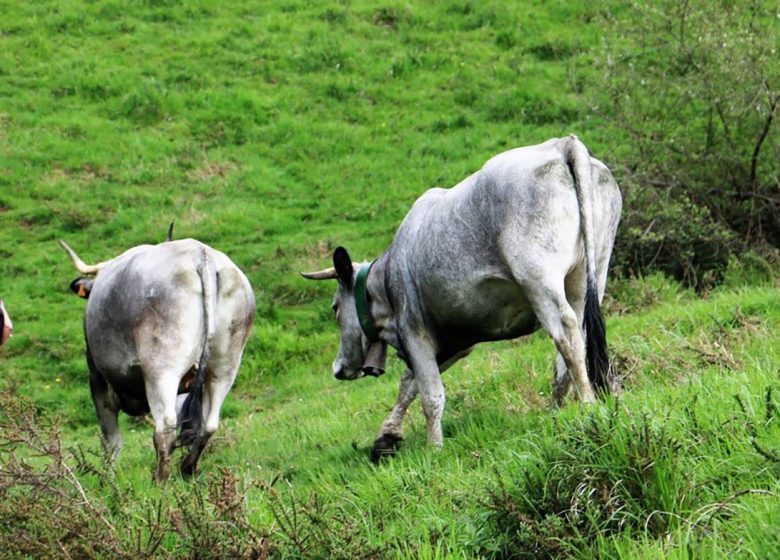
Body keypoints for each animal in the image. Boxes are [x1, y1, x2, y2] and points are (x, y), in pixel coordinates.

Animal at [62, 238, 256, 480]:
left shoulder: (98, 380)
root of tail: (202, 256)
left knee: (165, 429)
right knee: (208, 425)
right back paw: (186, 469)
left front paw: (108, 478)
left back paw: (159, 481)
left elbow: (111, 441)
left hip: (161, 371)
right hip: (224, 367)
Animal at [304, 135, 620, 460]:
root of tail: (561, 144)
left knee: (566, 334)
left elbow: (430, 394)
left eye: (334, 308)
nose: (338, 368)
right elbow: (409, 384)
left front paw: (433, 448)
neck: (388, 278)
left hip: (539, 278)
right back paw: (556, 409)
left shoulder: (415, 332)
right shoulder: (456, 340)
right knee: (577, 338)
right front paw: (387, 436)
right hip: (588, 274)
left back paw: (586, 403)